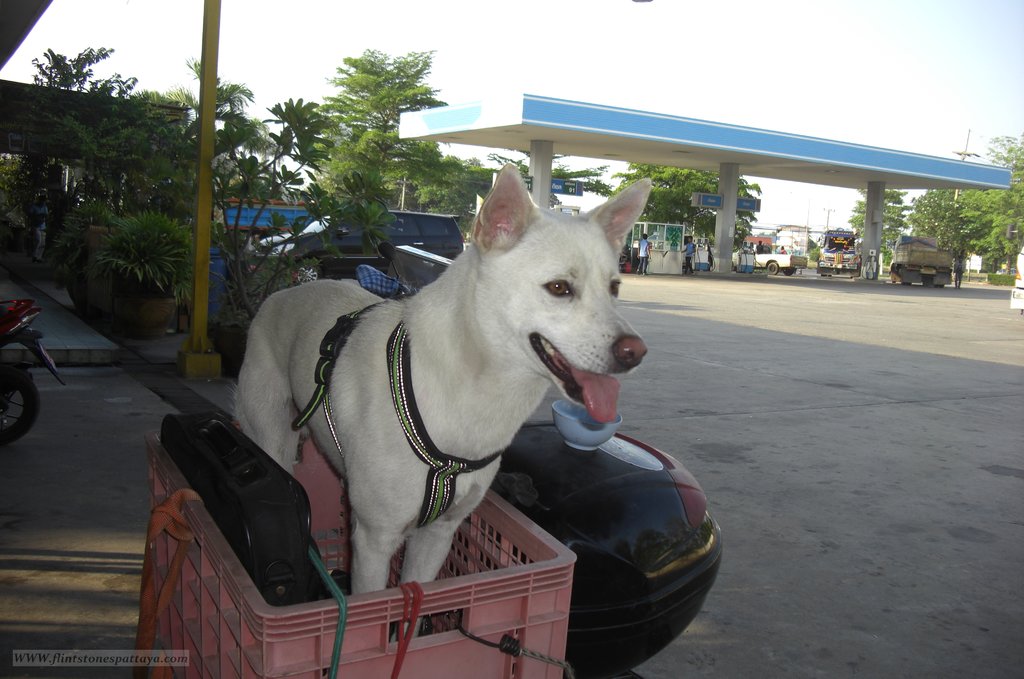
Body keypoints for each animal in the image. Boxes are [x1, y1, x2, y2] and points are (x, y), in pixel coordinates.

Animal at [235, 164, 651, 593]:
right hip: (271, 438)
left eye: (615, 287)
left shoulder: (439, 534)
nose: (635, 352)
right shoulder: (373, 541)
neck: (475, 388)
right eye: (559, 288)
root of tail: (281, 292)